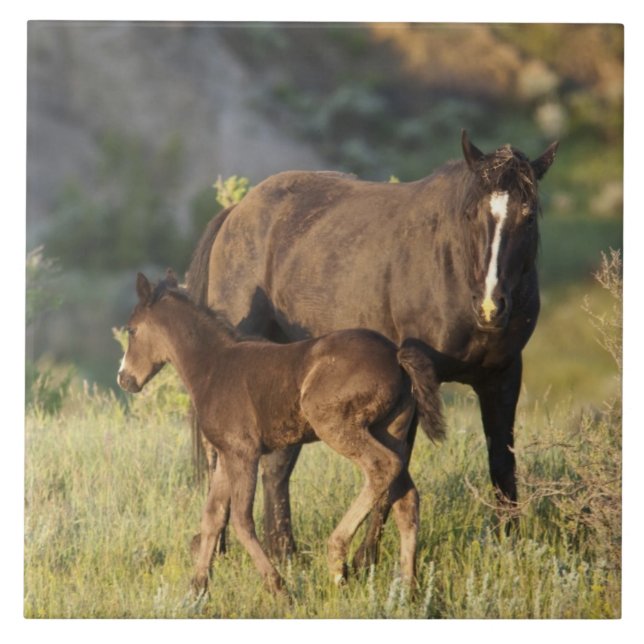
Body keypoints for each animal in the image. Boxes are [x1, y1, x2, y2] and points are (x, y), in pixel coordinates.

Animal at [117, 270, 445, 595]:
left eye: (132, 330)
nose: (124, 379)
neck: (213, 367)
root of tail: (396, 355)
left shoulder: (244, 452)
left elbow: (241, 519)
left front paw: (277, 586)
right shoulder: (227, 454)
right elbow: (213, 516)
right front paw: (197, 589)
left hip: (335, 424)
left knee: (381, 467)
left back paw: (337, 559)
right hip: (393, 429)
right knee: (406, 498)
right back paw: (409, 588)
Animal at [187, 130, 558, 563]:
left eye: (528, 216)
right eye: (471, 215)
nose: (490, 305)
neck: (452, 265)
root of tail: (236, 212)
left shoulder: (502, 376)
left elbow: (501, 461)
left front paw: (509, 547)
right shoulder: (415, 382)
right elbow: (398, 463)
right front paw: (366, 558)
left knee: (277, 464)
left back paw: (284, 551)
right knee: (223, 455)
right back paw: (220, 549)